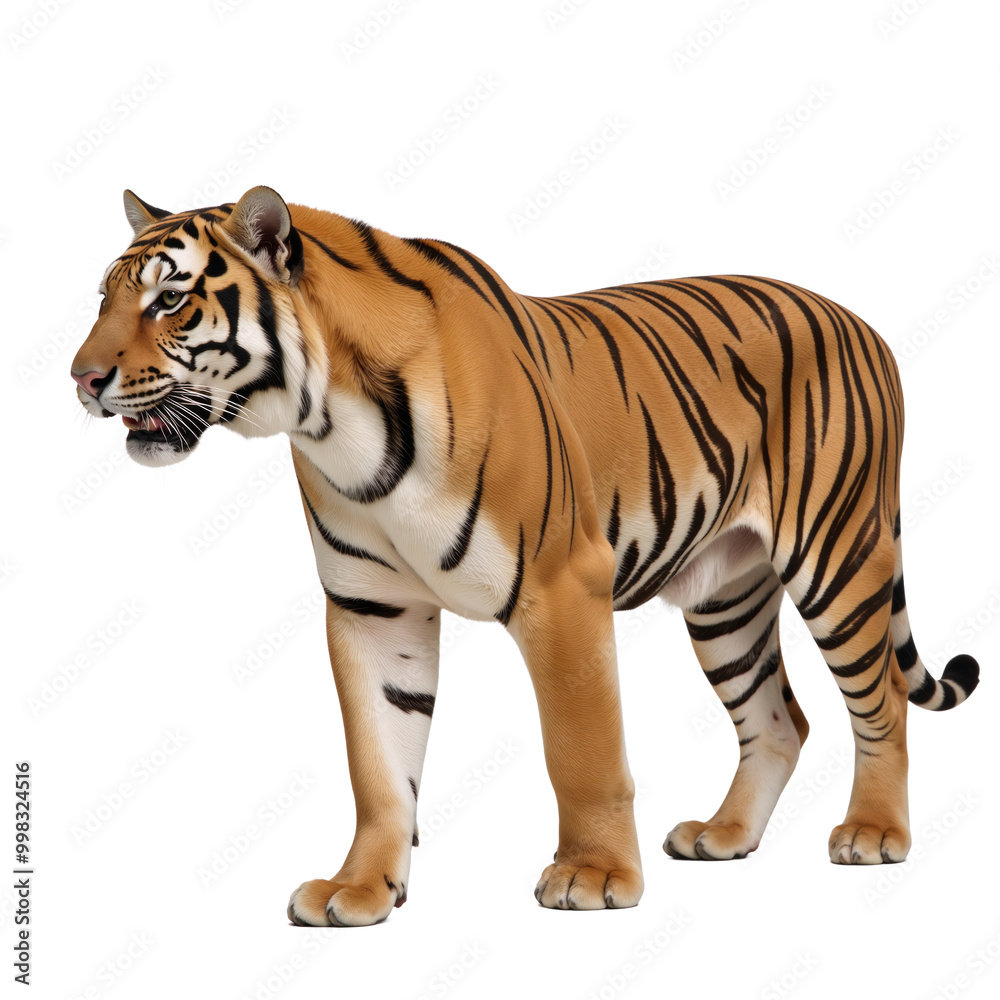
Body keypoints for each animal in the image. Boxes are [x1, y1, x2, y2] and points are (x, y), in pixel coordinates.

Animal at [71, 185, 980, 926]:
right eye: (104, 298)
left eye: (170, 301)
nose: (81, 379)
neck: (330, 419)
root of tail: (861, 322)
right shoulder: (371, 608)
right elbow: (378, 764)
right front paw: (359, 891)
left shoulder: (562, 586)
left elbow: (582, 750)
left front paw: (594, 877)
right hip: (727, 594)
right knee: (778, 716)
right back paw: (724, 835)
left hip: (838, 558)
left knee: (881, 700)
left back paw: (873, 833)